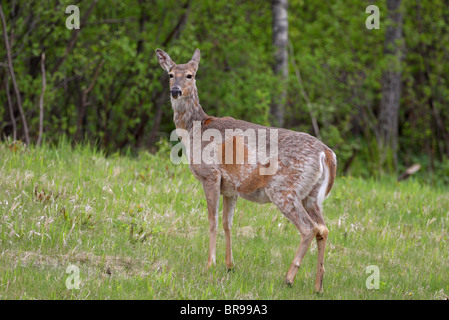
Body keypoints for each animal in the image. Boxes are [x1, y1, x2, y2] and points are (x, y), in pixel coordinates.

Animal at [156, 48, 334, 292]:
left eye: (190, 75)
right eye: (171, 74)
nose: (175, 91)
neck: (194, 129)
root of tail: (326, 154)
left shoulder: (210, 175)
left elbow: (212, 220)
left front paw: (209, 265)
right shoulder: (230, 188)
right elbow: (227, 223)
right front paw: (229, 265)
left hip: (284, 189)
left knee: (308, 228)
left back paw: (289, 278)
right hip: (311, 194)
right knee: (322, 229)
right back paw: (318, 286)